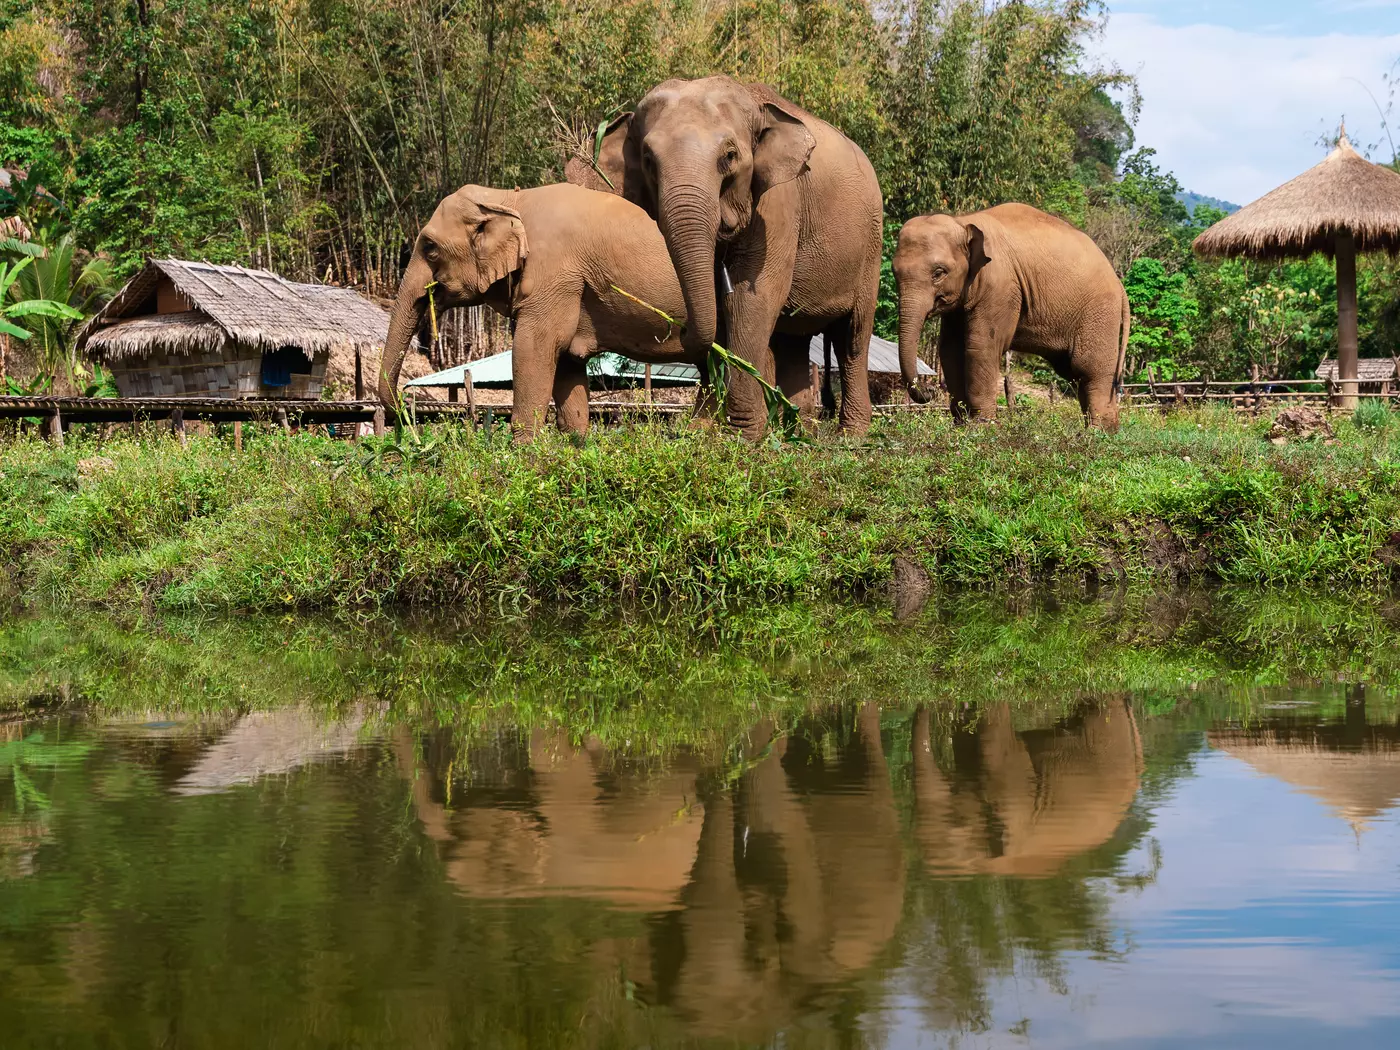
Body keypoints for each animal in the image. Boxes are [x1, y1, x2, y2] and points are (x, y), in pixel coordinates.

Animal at [378, 182, 731, 439]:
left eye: (430, 248)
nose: (407, 409)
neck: (508, 198)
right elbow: (567, 361)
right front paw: (573, 448)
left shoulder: (555, 274)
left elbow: (535, 348)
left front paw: (523, 460)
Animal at [567, 75, 884, 439]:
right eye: (647, 160)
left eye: (730, 156)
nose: (677, 331)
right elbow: (718, 307)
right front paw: (702, 429)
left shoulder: (779, 201)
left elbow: (750, 299)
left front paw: (742, 435)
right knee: (793, 340)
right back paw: (796, 431)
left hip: (871, 244)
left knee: (851, 336)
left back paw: (851, 434)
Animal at [894, 202, 1131, 429]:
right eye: (895, 273)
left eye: (938, 273)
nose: (929, 391)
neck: (963, 221)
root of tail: (1119, 284)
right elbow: (950, 350)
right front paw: (960, 426)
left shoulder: (1001, 287)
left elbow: (981, 347)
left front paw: (983, 428)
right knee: (1078, 375)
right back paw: (1105, 432)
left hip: (1099, 313)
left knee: (1090, 371)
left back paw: (1096, 434)